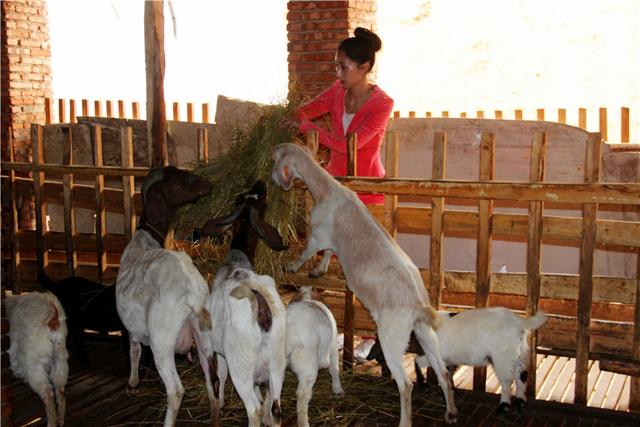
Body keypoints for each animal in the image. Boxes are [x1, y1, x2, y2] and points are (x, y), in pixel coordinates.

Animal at [5, 292, 69, 426]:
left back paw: (51, 423)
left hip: (33, 364)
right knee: (60, 391)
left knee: (48, 395)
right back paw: (60, 421)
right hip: (60, 358)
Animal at [114, 166, 216, 427]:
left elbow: (134, 350)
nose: (207, 183)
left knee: (176, 391)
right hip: (204, 336)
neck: (147, 238)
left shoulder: (132, 326)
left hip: (162, 340)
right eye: (177, 179)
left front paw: (132, 384)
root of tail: (192, 293)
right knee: (212, 381)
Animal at [206, 251, 286, 427]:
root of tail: (264, 312)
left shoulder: (220, 351)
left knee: (254, 410)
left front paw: (220, 402)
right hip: (278, 364)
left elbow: (221, 374)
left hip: (240, 366)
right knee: (276, 410)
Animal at [272, 143, 458, 424]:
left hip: (392, 337)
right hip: (425, 332)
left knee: (406, 385)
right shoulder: (331, 242)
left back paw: (405, 421)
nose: (273, 180)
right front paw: (318, 270)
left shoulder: (317, 236)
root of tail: (418, 303)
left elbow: (307, 252)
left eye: (275, 161)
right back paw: (451, 412)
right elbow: (328, 253)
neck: (326, 190)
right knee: (442, 371)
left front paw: (293, 267)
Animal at [368, 308, 548, 414]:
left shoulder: (434, 355)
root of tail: (520, 322)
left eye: (380, 339)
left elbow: (418, 361)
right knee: (522, 377)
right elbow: (449, 373)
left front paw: (424, 386)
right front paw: (451, 391)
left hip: (502, 357)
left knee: (506, 381)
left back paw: (504, 406)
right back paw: (520, 403)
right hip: (521, 354)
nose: (370, 357)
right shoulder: (449, 359)